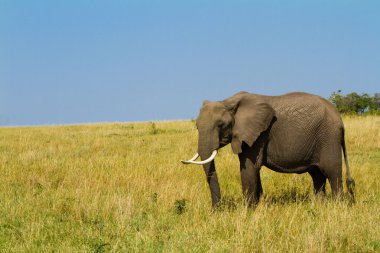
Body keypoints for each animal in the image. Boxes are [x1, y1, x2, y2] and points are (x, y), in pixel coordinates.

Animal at [180, 91, 354, 208]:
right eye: (197, 126)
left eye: (221, 125)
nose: (216, 210)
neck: (228, 102)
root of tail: (340, 119)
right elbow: (253, 170)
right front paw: (257, 206)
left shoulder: (259, 135)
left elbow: (249, 168)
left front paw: (248, 211)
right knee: (317, 175)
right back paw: (318, 205)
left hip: (328, 138)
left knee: (332, 173)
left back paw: (337, 207)